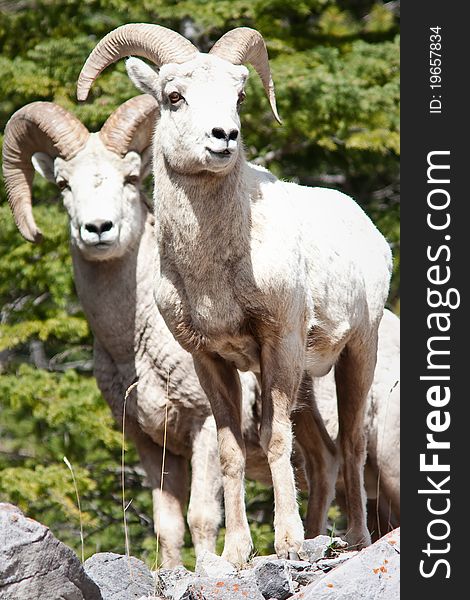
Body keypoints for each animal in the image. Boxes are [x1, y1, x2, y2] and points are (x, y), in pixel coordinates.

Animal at [78, 24, 392, 568]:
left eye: (239, 96)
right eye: (174, 96)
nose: (224, 137)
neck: (212, 276)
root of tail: (366, 226)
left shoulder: (279, 343)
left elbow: (274, 439)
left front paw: (287, 543)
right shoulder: (211, 360)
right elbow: (231, 452)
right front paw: (236, 553)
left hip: (357, 352)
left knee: (351, 445)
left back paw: (354, 539)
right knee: (324, 457)